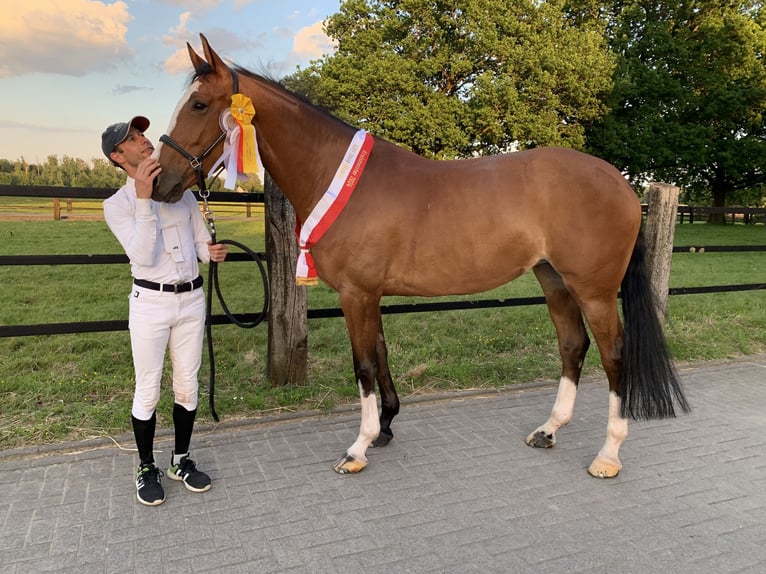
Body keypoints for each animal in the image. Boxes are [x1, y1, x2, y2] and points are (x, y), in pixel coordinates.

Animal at [154, 33, 688, 480]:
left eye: (199, 104)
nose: (160, 183)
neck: (340, 179)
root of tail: (621, 182)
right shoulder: (369, 293)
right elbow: (380, 355)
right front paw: (385, 427)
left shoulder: (356, 293)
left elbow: (363, 365)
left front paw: (359, 446)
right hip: (552, 279)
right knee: (572, 346)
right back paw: (549, 430)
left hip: (593, 290)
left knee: (614, 355)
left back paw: (608, 455)